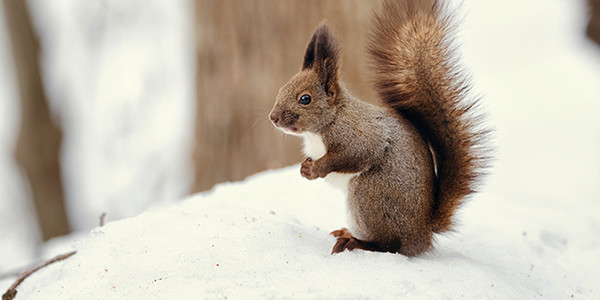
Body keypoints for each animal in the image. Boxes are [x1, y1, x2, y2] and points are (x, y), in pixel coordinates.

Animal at [270, 0, 490, 258]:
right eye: (282, 89)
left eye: (305, 99)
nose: (273, 118)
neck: (325, 124)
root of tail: (422, 234)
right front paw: (305, 169)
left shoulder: (360, 136)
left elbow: (354, 155)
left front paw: (316, 169)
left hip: (369, 194)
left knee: (389, 245)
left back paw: (356, 242)